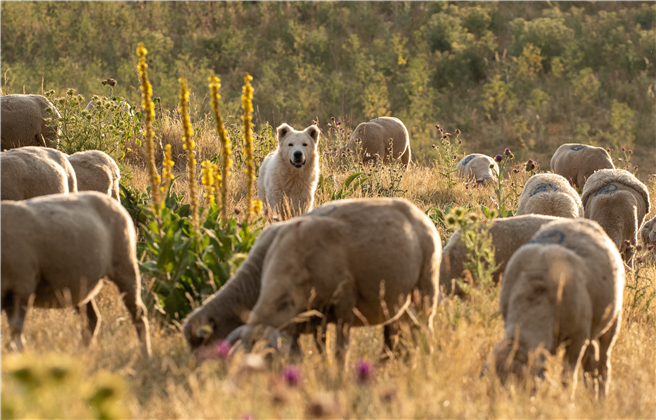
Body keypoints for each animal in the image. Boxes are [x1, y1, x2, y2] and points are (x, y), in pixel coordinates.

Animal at [0, 193, 151, 354]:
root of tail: (112, 201)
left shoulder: (22, 287)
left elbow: (16, 331)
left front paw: (20, 354)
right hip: (80, 285)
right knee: (92, 319)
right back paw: (80, 353)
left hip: (125, 265)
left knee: (138, 312)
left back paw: (145, 353)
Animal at [224, 199, 440, 360]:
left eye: (267, 356)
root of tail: (419, 213)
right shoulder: (314, 317)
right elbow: (316, 350)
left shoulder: (344, 304)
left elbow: (340, 352)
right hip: (398, 300)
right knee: (411, 327)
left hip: (426, 286)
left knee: (426, 327)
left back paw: (427, 357)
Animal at [492, 218, 624, 398]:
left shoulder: (577, 338)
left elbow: (568, 377)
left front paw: (567, 399)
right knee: (592, 358)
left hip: (612, 321)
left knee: (603, 362)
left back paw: (601, 397)